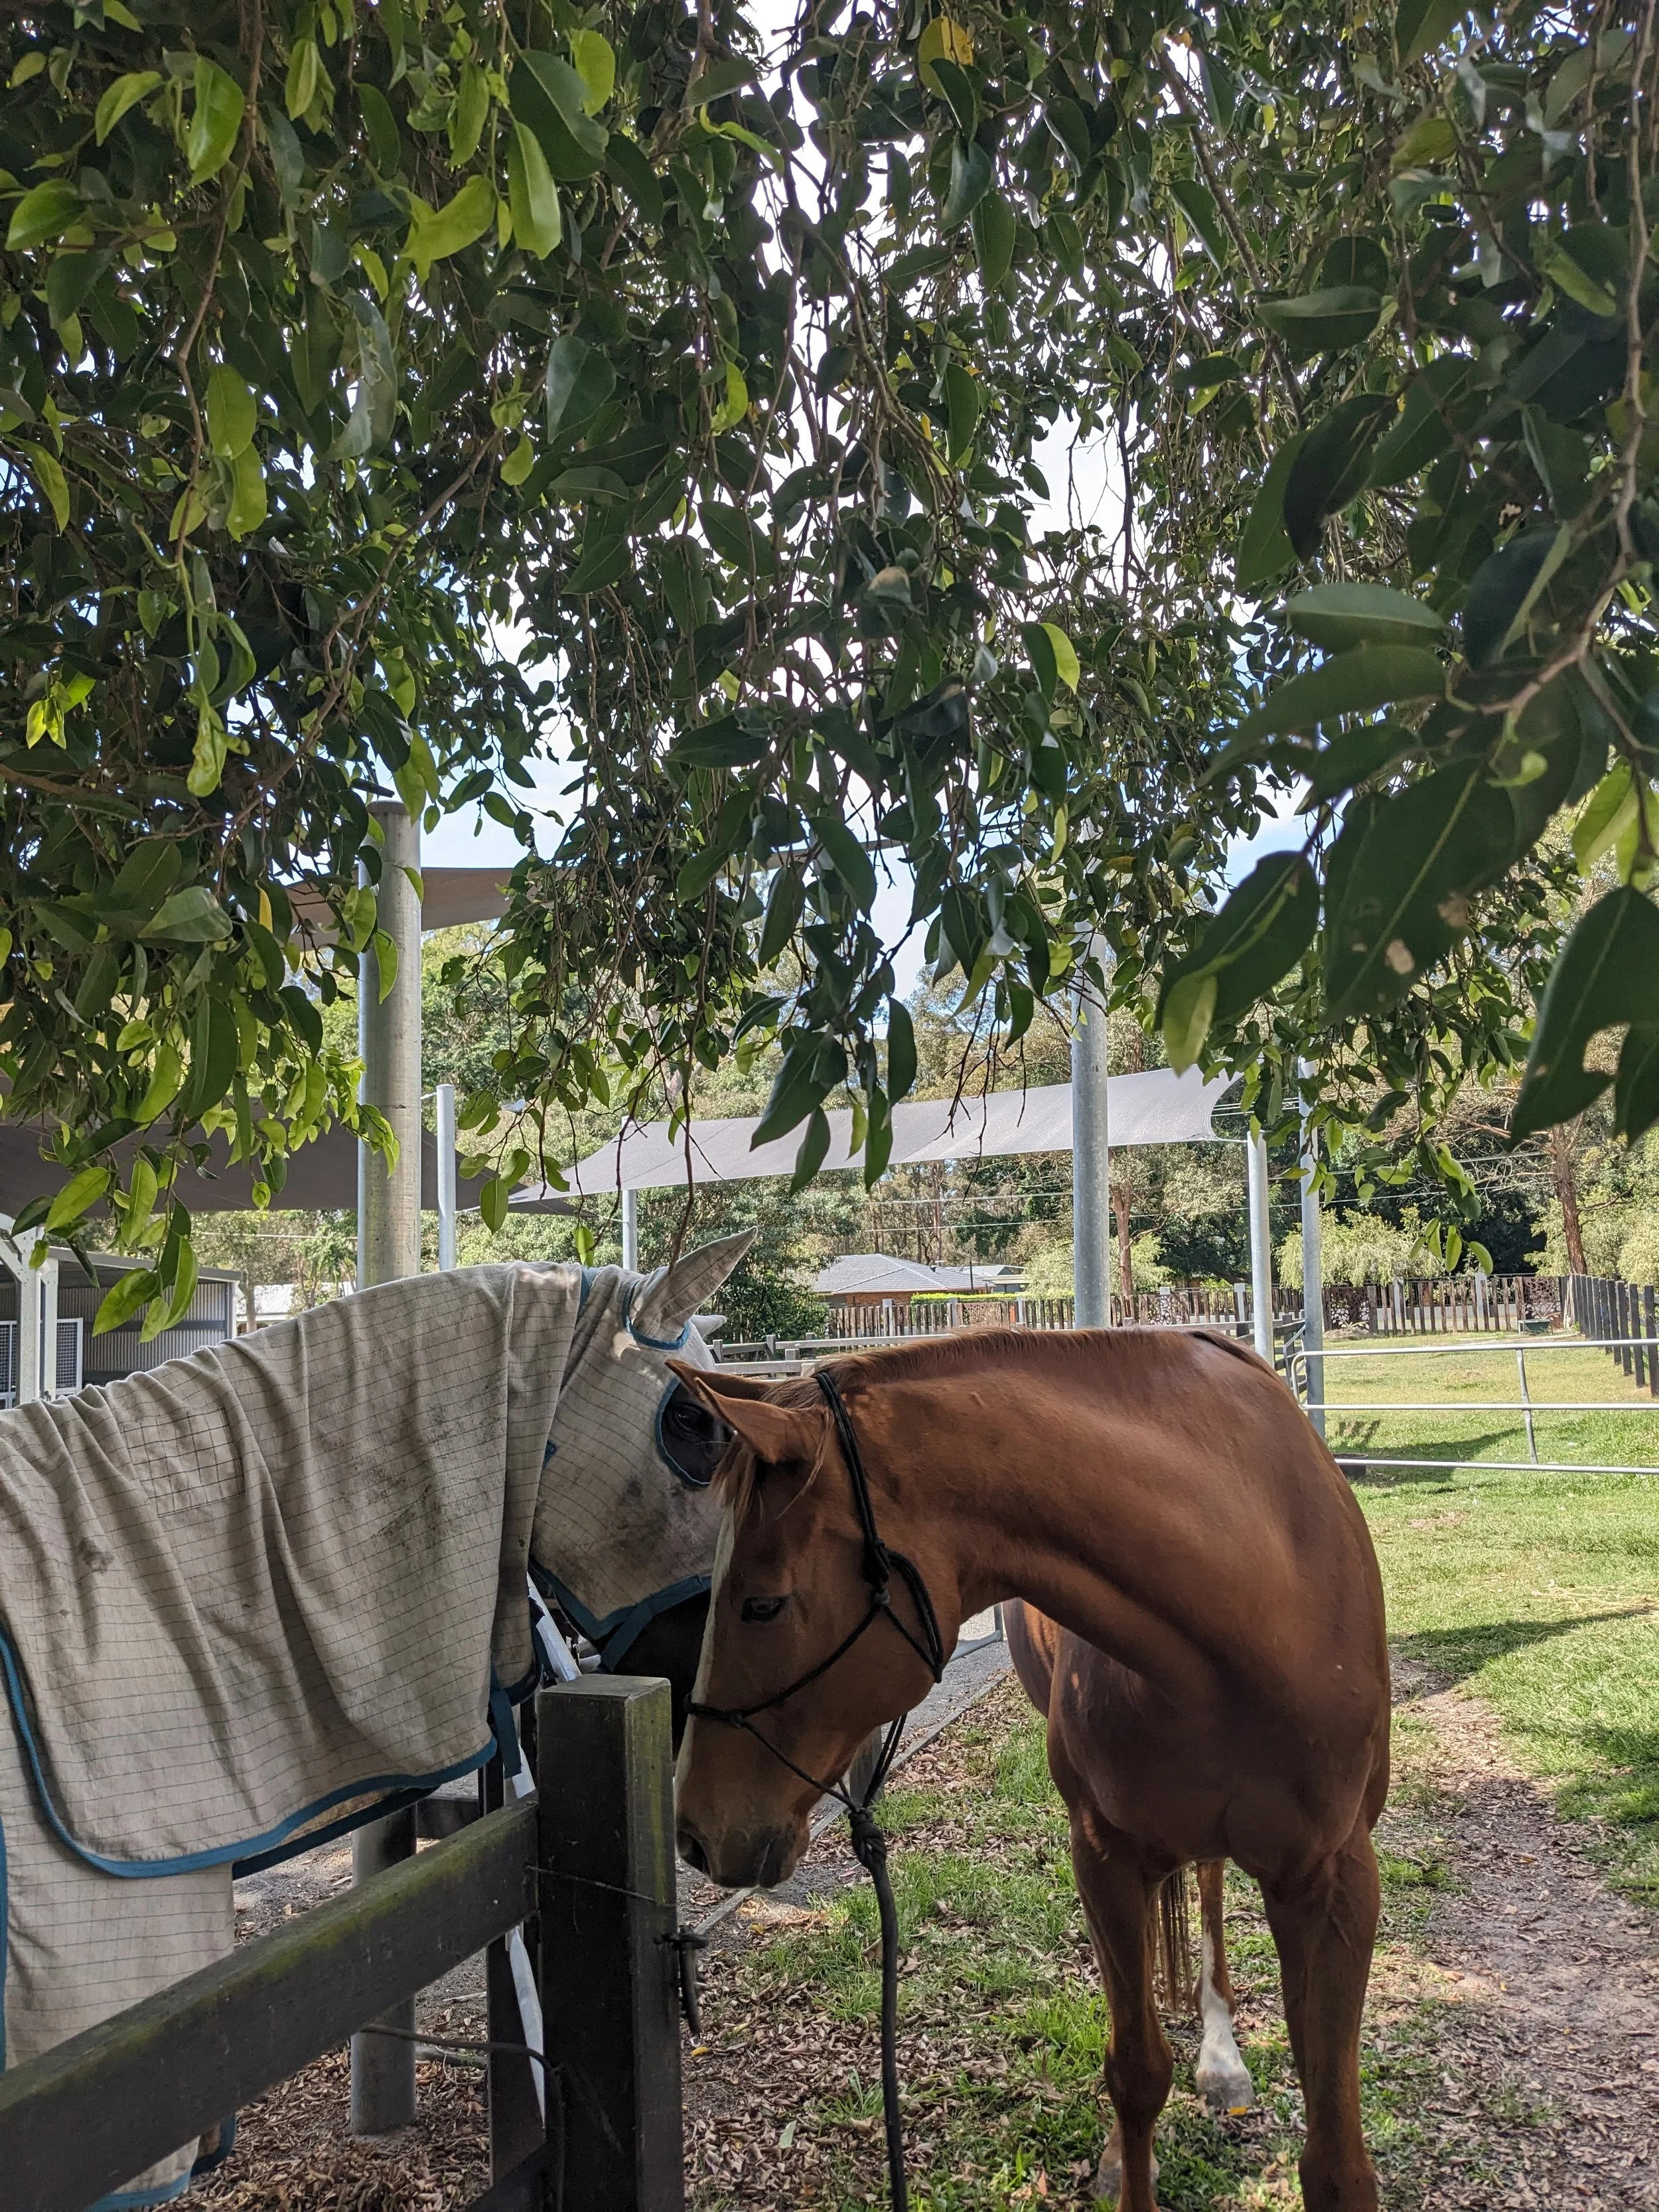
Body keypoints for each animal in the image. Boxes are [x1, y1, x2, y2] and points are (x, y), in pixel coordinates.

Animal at [671, 1327, 1391, 2212]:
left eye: (763, 1604)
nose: (696, 1832)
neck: (1257, 1603)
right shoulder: (1105, 1859)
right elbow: (1136, 2071)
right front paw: (1127, 2158)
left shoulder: (1334, 1882)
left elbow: (1335, 2158)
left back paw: (1221, 2059)